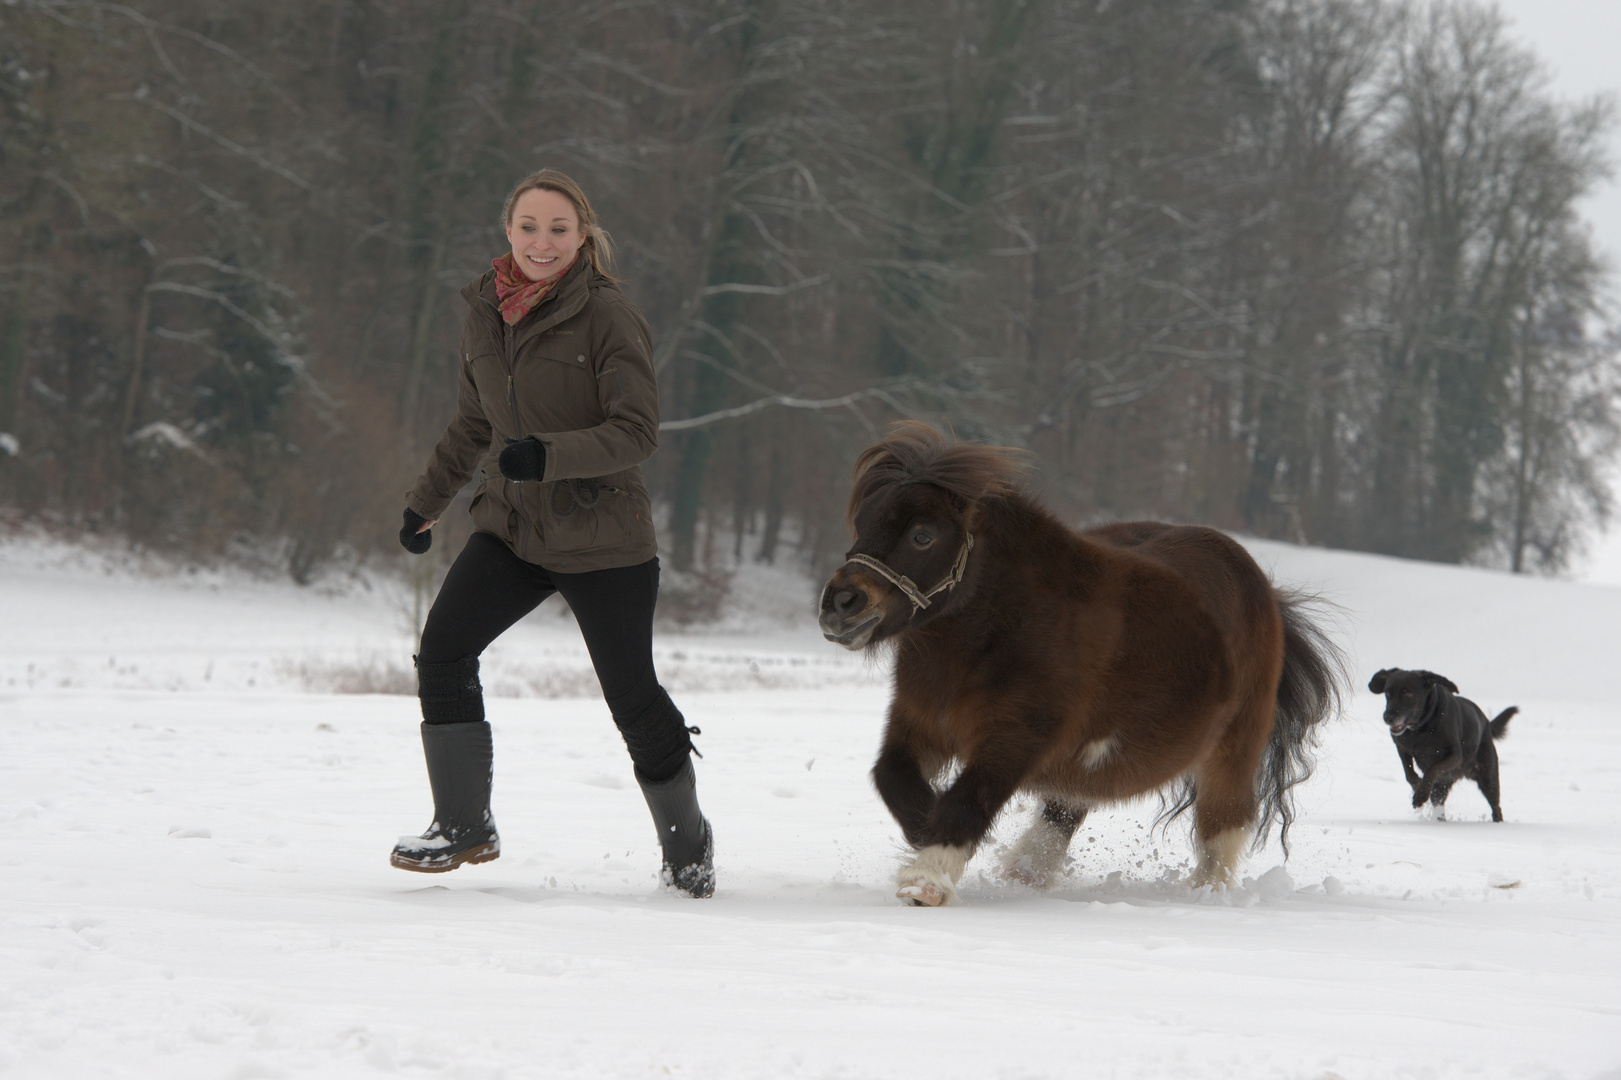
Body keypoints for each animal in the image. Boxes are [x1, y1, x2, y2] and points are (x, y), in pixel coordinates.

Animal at [816, 421, 1348, 901]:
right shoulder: (919, 722)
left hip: (1233, 747)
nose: (841, 604)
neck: (998, 627)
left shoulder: (1015, 738)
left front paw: (925, 879)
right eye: (863, 523)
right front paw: (924, 832)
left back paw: (1208, 893)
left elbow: (969, 797)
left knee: (1222, 831)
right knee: (1063, 813)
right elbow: (891, 776)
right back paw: (1025, 874)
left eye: (923, 537)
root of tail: (1263, 587)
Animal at [1368, 664, 1517, 817]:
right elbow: (1409, 772)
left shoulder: (1455, 756)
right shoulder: (1402, 748)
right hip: (1444, 784)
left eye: (1407, 692)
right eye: (1387, 693)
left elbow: (1433, 769)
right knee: (1438, 802)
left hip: (1488, 776)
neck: (1421, 728)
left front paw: (1420, 795)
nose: (1388, 717)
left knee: (1496, 806)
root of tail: (1486, 722)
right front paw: (1417, 785)